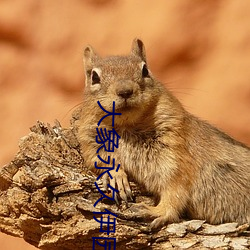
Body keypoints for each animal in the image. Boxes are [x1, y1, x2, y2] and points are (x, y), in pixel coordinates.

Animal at [77, 38, 249, 229]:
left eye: (145, 70)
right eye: (94, 77)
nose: (125, 91)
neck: (127, 126)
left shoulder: (175, 153)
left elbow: (175, 189)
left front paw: (156, 211)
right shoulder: (90, 140)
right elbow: (97, 159)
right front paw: (115, 175)